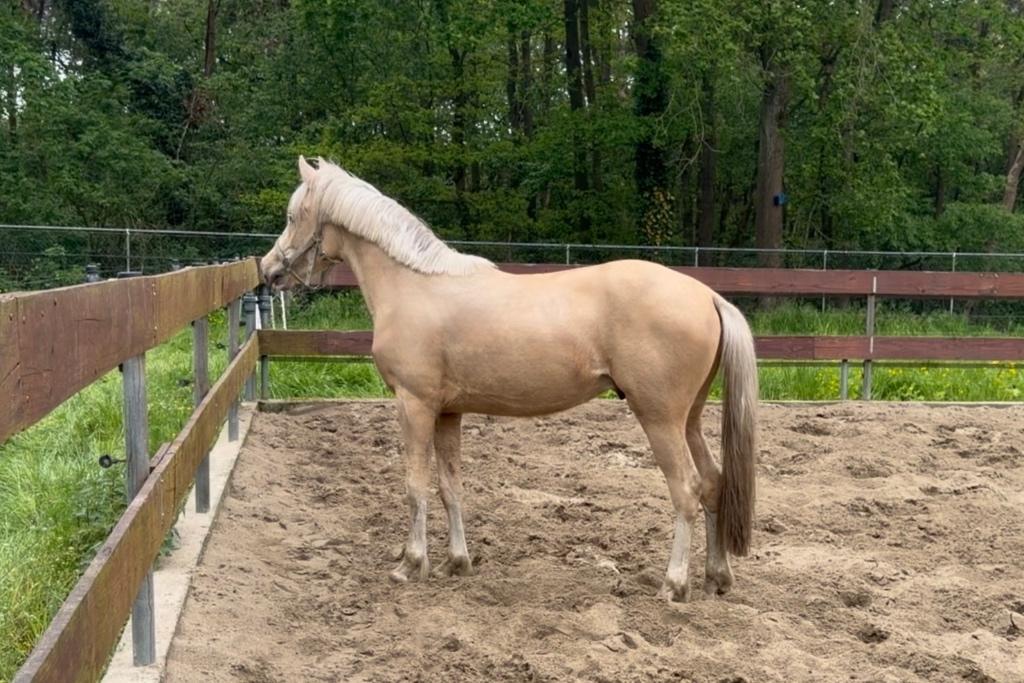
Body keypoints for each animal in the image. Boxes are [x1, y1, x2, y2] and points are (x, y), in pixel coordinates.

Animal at [259, 156, 758, 602]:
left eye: (292, 215)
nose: (269, 271)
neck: (413, 285)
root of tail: (708, 294)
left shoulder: (414, 404)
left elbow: (415, 485)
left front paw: (411, 563)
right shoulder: (447, 413)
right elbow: (450, 487)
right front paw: (456, 562)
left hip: (659, 418)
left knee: (687, 490)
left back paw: (674, 585)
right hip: (688, 419)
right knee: (713, 483)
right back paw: (717, 577)